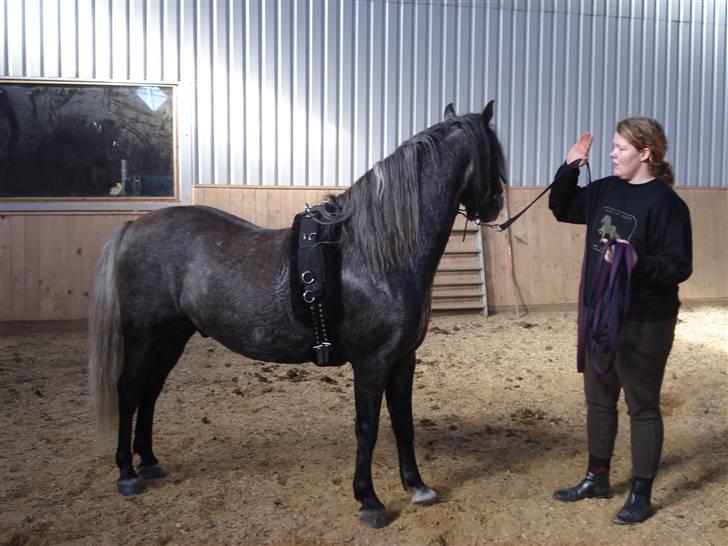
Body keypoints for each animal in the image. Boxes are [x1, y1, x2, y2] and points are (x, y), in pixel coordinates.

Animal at [88, 101, 506, 528]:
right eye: (495, 152)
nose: (495, 205)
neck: (377, 254)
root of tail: (133, 226)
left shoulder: (403, 358)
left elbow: (403, 422)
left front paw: (418, 488)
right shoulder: (372, 361)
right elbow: (368, 426)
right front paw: (369, 500)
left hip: (172, 336)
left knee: (150, 392)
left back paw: (149, 461)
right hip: (143, 335)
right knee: (129, 391)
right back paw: (127, 473)